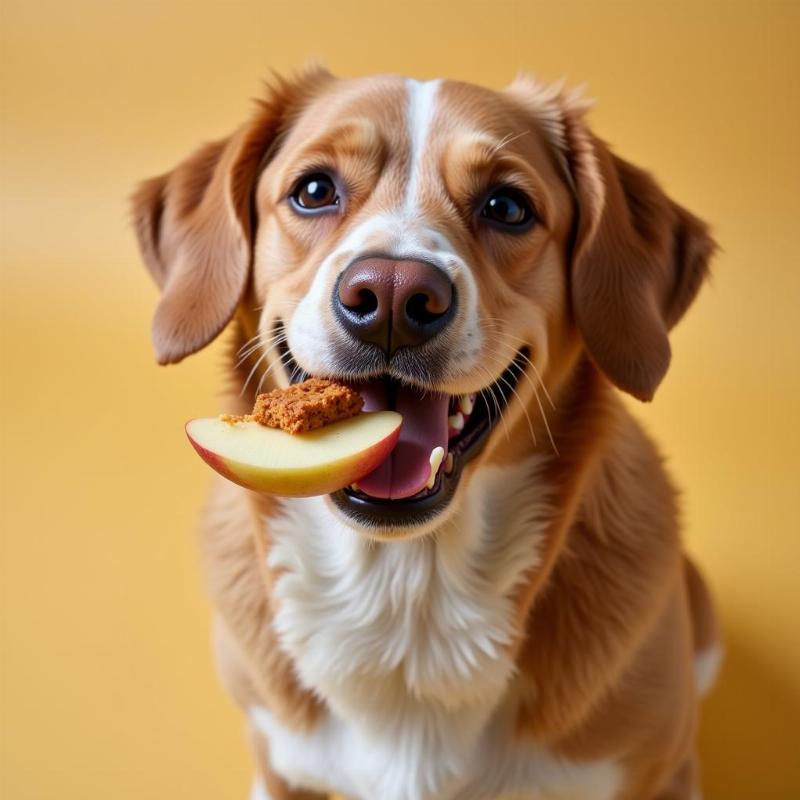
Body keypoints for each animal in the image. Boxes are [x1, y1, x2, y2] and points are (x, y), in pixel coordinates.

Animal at [133, 70, 724, 800]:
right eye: (313, 191)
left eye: (507, 206)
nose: (392, 294)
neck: (406, 593)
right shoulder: (280, 770)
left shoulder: (662, 772)